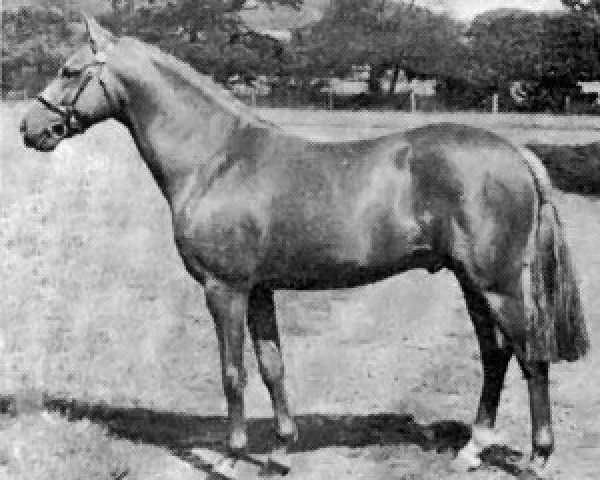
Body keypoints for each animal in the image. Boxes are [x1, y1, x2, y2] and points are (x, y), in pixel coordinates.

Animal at [21, 15, 588, 480]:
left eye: (70, 70)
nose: (31, 129)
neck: (215, 158)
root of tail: (514, 152)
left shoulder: (224, 289)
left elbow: (233, 373)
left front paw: (230, 456)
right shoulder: (259, 290)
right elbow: (272, 367)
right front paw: (280, 452)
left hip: (498, 283)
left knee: (531, 357)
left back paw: (538, 456)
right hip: (471, 282)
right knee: (495, 357)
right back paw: (472, 449)